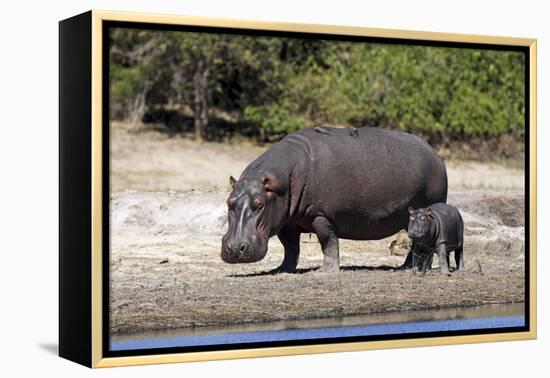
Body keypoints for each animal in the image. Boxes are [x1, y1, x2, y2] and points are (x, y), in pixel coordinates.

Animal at [220, 126, 448, 272]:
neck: (281, 182)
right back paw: (409, 266)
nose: (234, 248)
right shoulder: (286, 221)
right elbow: (290, 248)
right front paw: (282, 269)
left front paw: (326, 271)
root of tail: (436, 154)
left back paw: (410, 267)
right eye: (228, 202)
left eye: (259, 204)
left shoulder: (322, 216)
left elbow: (328, 242)